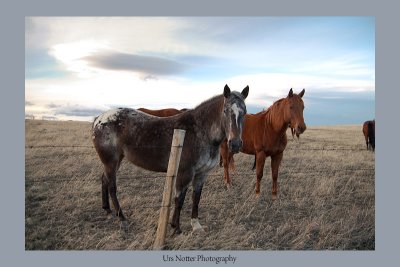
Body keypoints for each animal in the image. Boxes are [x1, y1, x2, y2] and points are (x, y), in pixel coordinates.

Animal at [92, 85, 248, 234]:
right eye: (225, 111)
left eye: (244, 112)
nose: (235, 144)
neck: (199, 131)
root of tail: (99, 119)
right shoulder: (184, 173)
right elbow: (179, 199)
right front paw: (176, 227)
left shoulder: (202, 174)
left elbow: (196, 198)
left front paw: (196, 226)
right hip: (110, 161)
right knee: (112, 187)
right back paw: (122, 219)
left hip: (116, 160)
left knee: (104, 180)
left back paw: (107, 210)